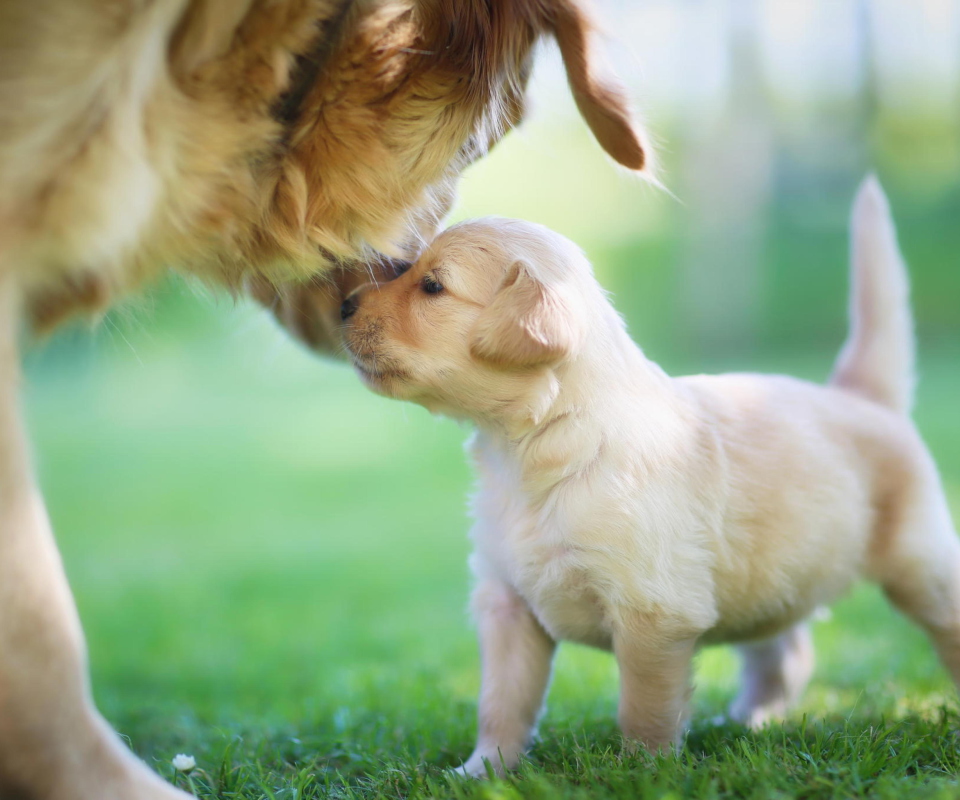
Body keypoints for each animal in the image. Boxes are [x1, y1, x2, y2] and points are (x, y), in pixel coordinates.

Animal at [338, 180, 960, 776]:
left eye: (432, 287)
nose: (342, 305)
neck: (539, 445)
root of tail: (863, 397)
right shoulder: (507, 602)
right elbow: (501, 702)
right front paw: (482, 770)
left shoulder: (653, 614)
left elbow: (643, 707)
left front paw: (645, 770)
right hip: (771, 577)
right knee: (786, 652)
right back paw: (748, 721)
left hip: (921, 564)